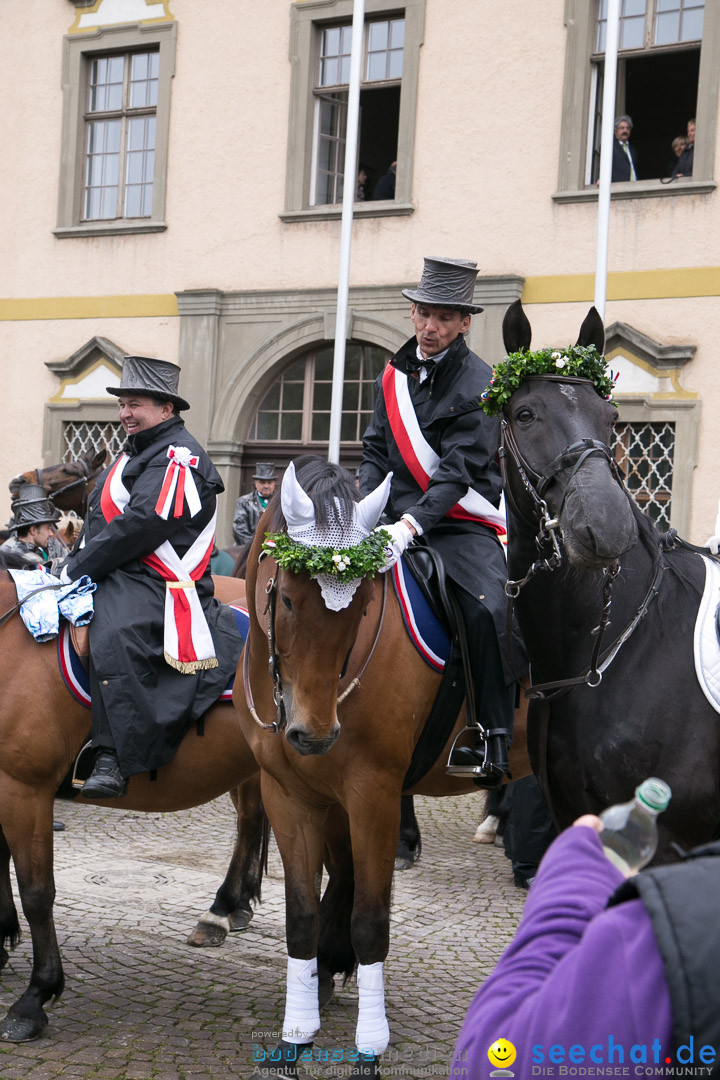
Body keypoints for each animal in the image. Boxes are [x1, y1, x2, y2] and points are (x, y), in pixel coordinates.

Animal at [235, 457, 528, 1080]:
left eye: (365, 606)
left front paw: (369, 1048)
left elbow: (371, 921)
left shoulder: (373, 794)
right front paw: (298, 1034)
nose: (313, 734)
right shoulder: (292, 795)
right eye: (287, 598)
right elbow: (302, 917)